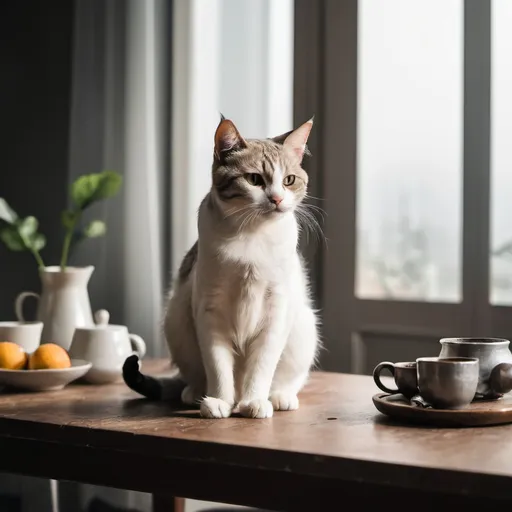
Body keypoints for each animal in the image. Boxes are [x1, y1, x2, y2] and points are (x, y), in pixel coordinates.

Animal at [123, 117, 320, 420]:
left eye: (289, 180)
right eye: (255, 179)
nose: (277, 199)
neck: (251, 237)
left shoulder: (276, 311)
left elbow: (262, 366)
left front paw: (253, 402)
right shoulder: (209, 311)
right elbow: (217, 365)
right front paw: (219, 402)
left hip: (303, 327)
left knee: (289, 378)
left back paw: (279, 396)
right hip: (176, 319)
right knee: (195, 374)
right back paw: (196, 393)